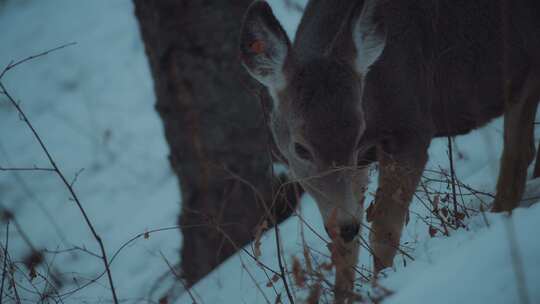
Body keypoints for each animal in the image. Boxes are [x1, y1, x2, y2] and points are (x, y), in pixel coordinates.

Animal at [239, 0, 540, 302]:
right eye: (300, 148)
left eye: (357, 134)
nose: (346, 226)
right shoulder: (361, 164)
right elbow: (345, 251)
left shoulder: (412, 127)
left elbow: (384, 232)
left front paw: (382, 286)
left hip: (524, 63)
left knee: (516, 158)